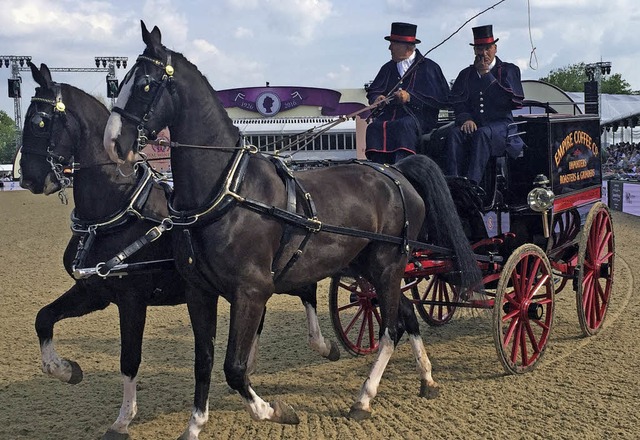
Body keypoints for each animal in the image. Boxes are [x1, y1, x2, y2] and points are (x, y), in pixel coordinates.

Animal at [20, 62, 340, 440]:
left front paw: (123, 418)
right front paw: (65, 369)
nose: (28, 178)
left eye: (40, 122)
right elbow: (43, 318)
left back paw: (323, 346)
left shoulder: (131, 299)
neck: (116, 211)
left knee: (307, 290)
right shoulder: (94, 292)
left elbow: (129, 358)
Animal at [102, 21, 478, 440]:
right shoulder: (200, 293)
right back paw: (426, 378)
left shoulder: (251, 291)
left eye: (145, 84)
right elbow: (205, 361)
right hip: (368, 267)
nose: (112, 143)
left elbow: (234, 368)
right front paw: (195, 424)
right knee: (407, 315)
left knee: (391, 329)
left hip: (387, 265)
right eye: (121, 83)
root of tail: (396, 171)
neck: (228, 192)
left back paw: (365, 398)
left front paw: (274, 411)